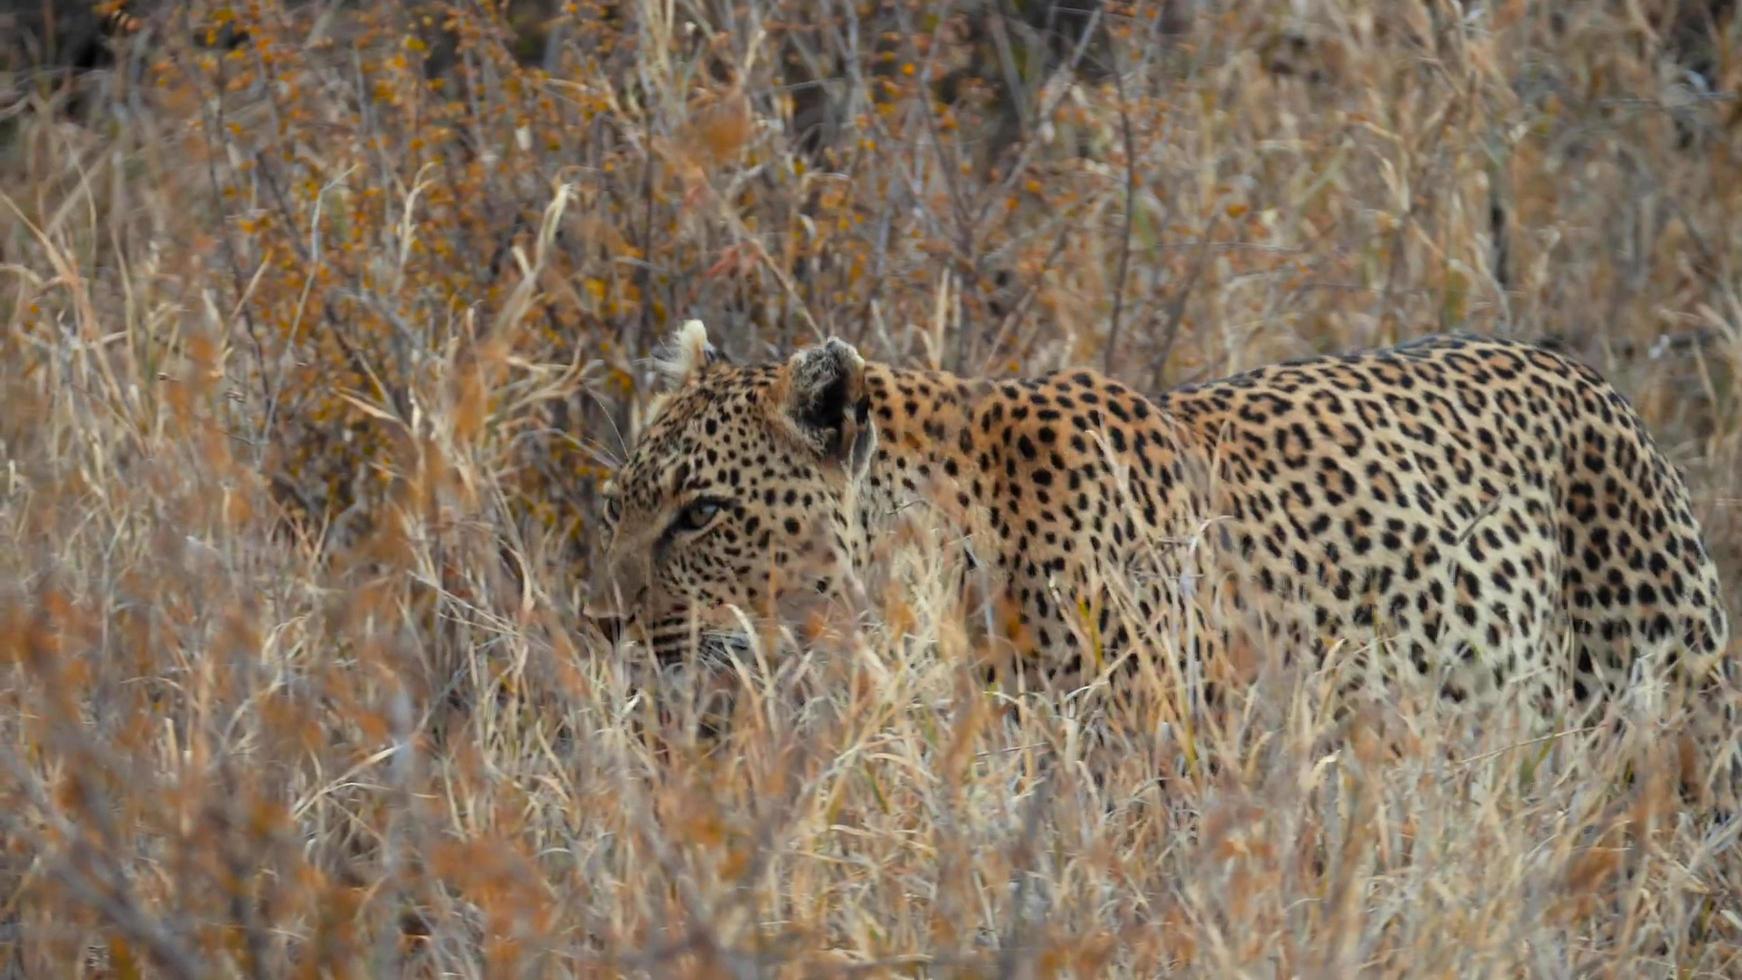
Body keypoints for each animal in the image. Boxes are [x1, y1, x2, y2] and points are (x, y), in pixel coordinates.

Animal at [592, 320, 1735, 804]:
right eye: (616, 505)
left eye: (701, 513)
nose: (603, 624)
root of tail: (1588, 374)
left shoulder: (1152, 779)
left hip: (1678, 716)